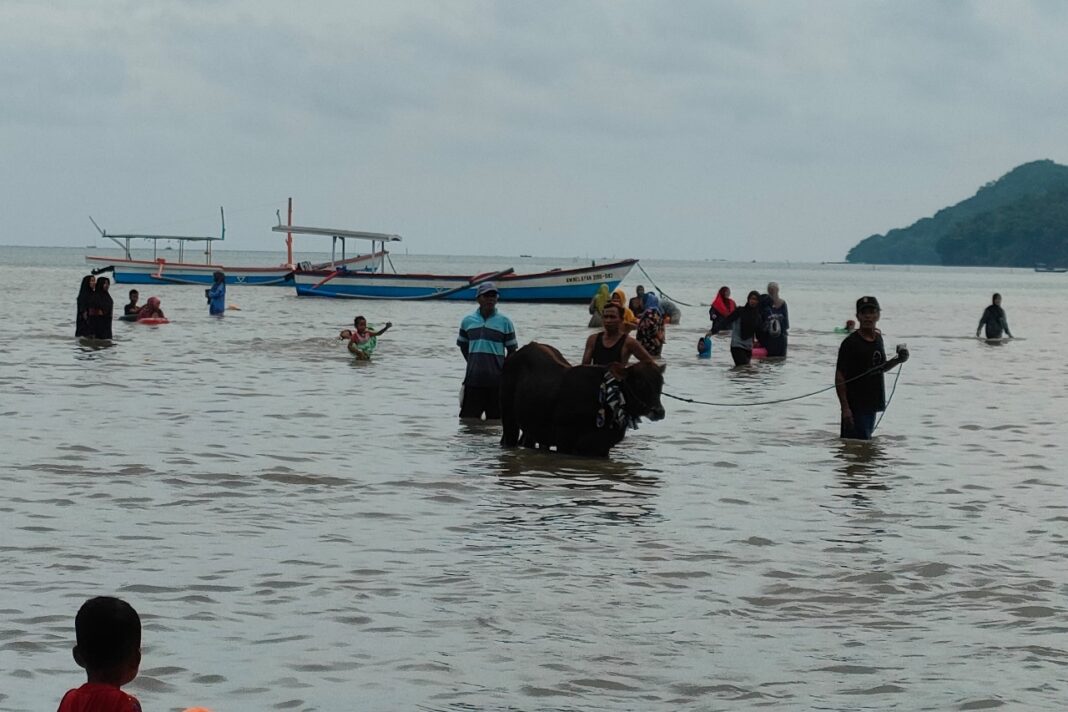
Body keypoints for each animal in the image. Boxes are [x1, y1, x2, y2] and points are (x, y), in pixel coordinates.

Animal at [497, 343, 662, 456]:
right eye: (640, 382)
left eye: (661, 383)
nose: (659, 412)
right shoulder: (564, 441)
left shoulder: (603, 447)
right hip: (509, 418)